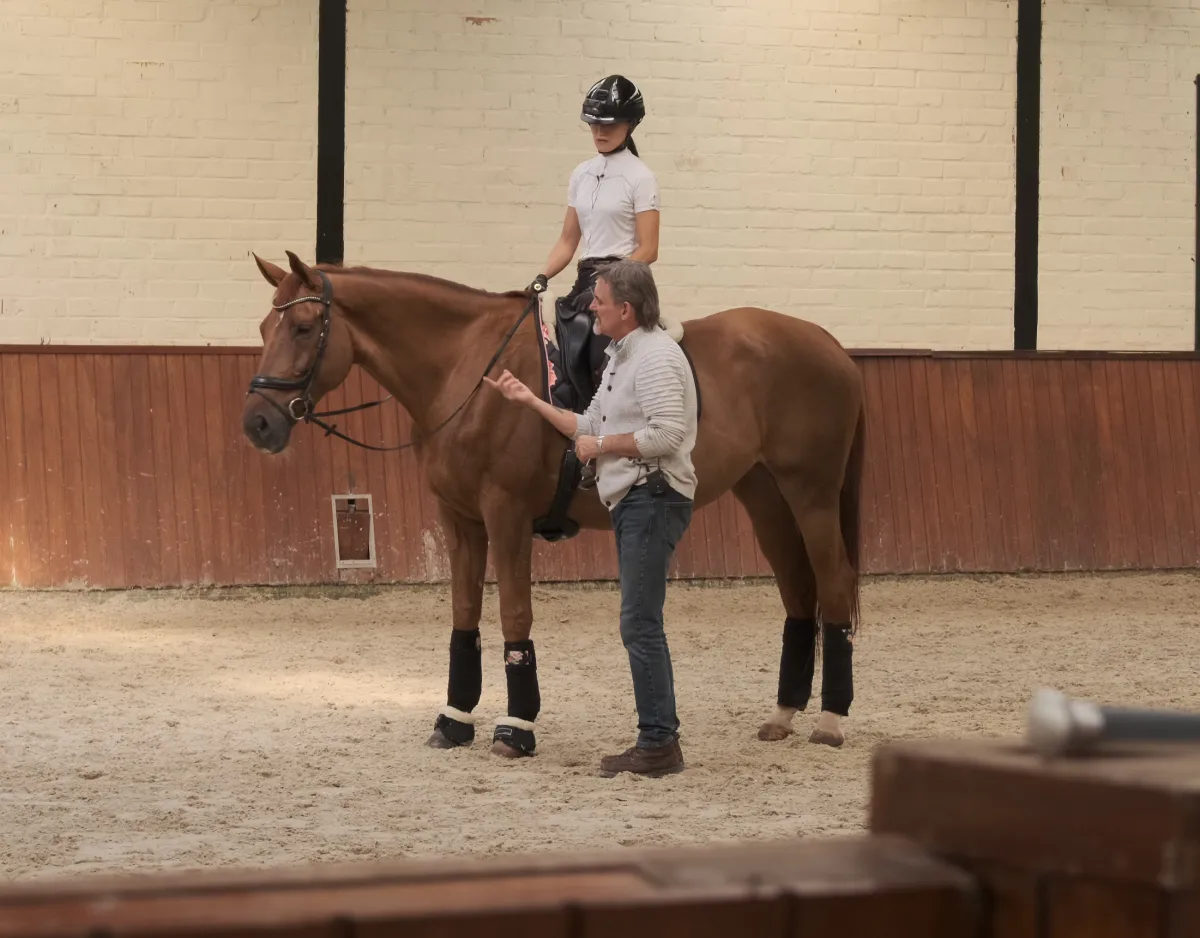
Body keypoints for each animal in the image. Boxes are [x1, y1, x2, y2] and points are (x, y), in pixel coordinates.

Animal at [241, 251, 867, 760]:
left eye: (303, 327)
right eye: (265, 326)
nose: (257, 424)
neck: (468, 373)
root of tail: (829, 344)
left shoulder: (506, 514)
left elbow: (514, 615)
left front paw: (516, 728)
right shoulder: (460, 519)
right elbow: (464, 615)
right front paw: (454, 720)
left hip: (810, 493)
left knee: (833, 580)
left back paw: (831, 720)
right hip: (764, 495)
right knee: (798, 589)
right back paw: (783, 714)